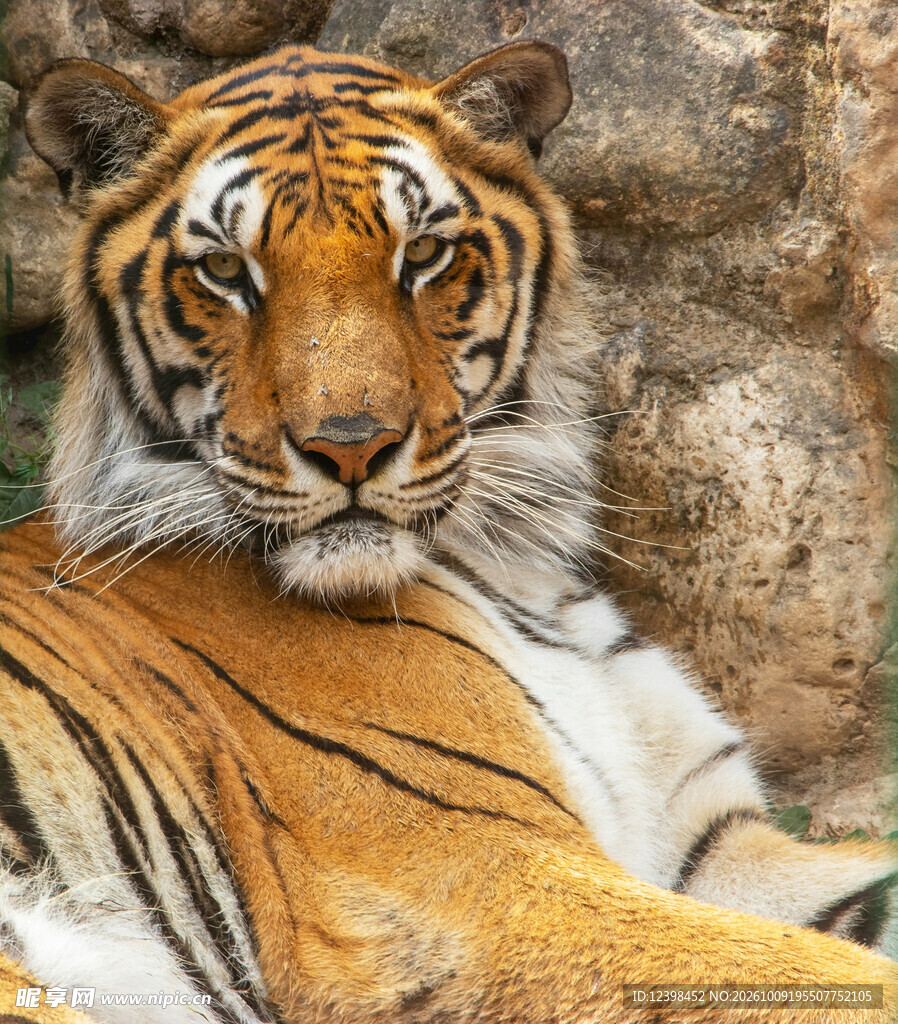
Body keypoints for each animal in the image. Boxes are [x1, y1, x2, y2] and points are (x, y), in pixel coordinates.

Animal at [0, 38, 893, 1023]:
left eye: (422, 254)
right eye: (227, 272)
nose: (350, 444)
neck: (510, 562)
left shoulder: (713, 835)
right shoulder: (477, 885)